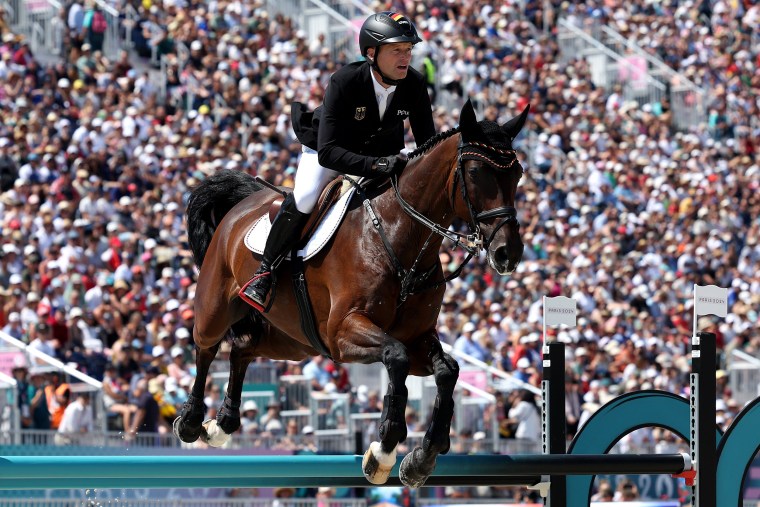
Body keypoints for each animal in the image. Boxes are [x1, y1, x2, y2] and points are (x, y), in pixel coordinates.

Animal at [176, 100, 528, 488]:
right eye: (477, 172)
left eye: (517, 174)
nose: (508, 254)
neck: (397, 236)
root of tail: (245, 202)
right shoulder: (343, 332)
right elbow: (395, 357)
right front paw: (385, 447)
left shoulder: (417, 337)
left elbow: (447, 370)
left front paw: (422, 457)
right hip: (217, 306)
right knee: (206, 347)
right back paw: (191, 421)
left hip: (295, 341)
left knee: (242, 348)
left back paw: (222, 423)